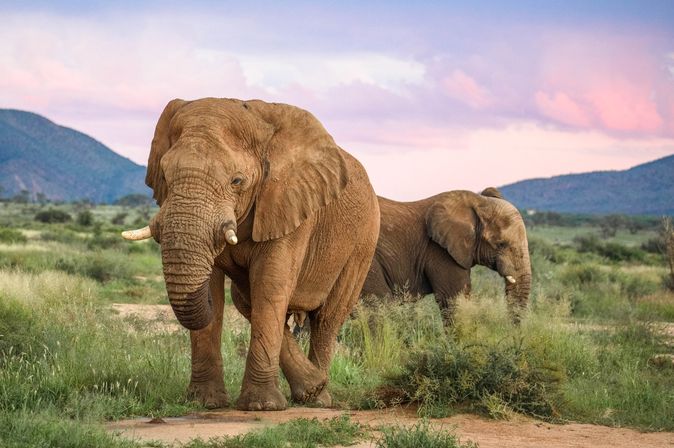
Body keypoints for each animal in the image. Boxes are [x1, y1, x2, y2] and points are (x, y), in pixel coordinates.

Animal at [122, 98, 380, 411]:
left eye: (237, 181)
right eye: (164, 175)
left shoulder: (288, 204)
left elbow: (269, 284)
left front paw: (262, 406)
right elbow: (221, 289)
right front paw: (205, 403)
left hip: (363, 242)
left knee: (327, 318)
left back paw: (319, 398)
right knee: (248, 302)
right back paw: (312, 388)